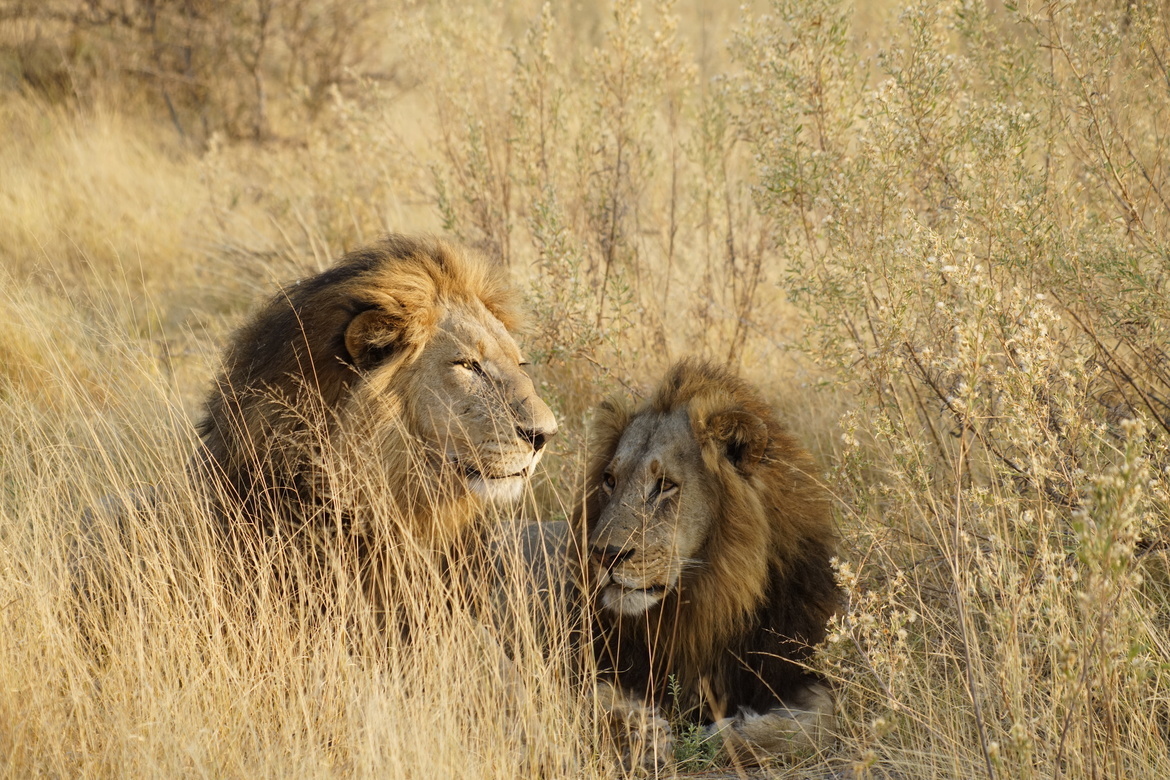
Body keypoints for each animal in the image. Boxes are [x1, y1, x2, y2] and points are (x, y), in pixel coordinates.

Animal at [546, 358, 839, 768]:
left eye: (665, 485)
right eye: (609, 480)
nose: (604, 554)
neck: (707, 601)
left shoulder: (792, 664)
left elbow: (822, 722)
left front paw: (726, 735)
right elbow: (588, 700)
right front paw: (643, 735)